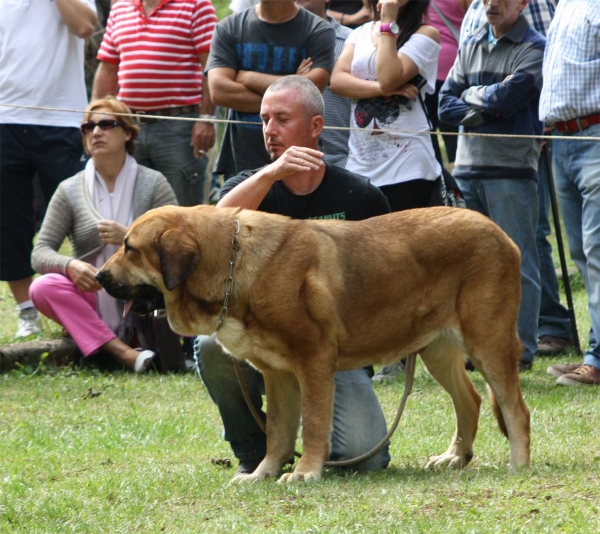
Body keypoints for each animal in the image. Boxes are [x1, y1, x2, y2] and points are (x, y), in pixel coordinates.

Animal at [96, 203, 532, 484]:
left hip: (488, 342)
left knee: (515, 409)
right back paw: (454, 457)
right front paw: (263, 474)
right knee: (470, 400)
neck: (232, 265)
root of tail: (501, 234)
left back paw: (518, 465)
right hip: (437, 350)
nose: (99, 276)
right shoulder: (278, 375)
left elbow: (314, 425)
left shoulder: (314, 362)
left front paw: (305, 473)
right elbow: (278, 432)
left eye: (130, 248)